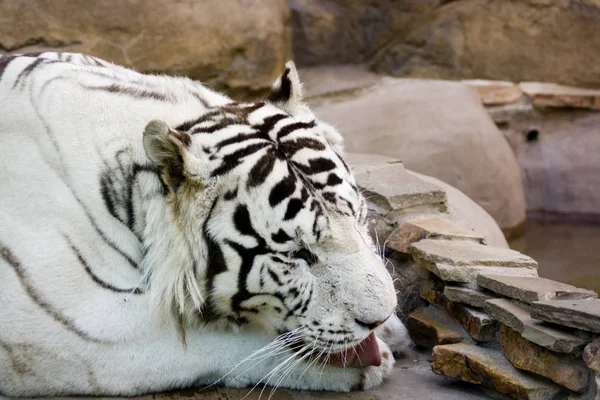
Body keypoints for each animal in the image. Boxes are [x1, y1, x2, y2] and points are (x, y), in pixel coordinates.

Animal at [0, 53, 408, 396]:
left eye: (358, 216)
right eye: (297, 254)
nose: (378, 319)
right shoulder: (68, 332)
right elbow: (217, 344)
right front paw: (360, 364)